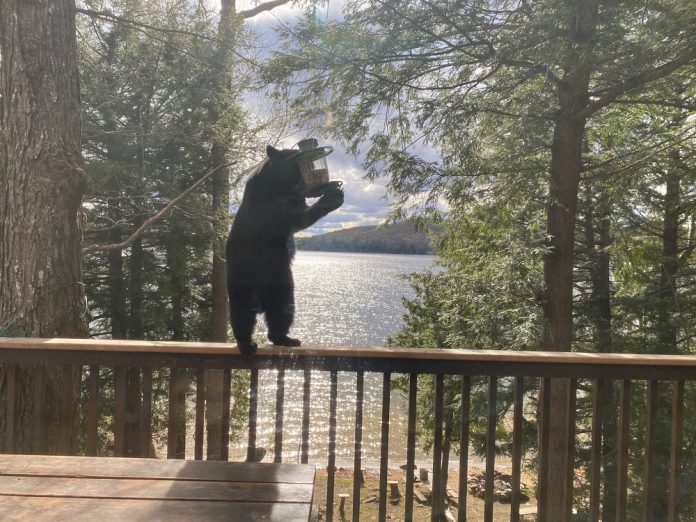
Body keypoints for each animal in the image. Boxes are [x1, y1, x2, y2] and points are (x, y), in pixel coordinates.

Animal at [225, 144, 344, 355]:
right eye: (296, 162)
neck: (281, 188)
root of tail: (261, 299)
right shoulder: (263, 206)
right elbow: (289, 218)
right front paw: (328, 199)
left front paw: (334, 193)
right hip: (243, 277)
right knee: (243, 312)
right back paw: (246, 343)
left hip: (282, 282)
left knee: (282, 311)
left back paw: (285, 338)